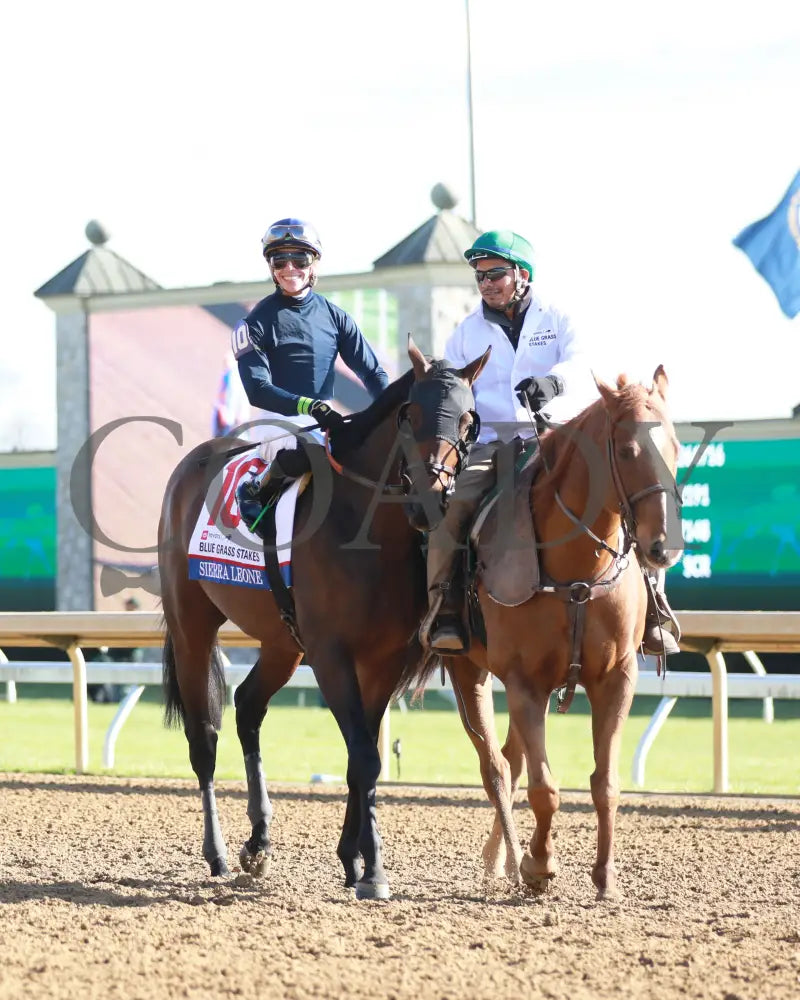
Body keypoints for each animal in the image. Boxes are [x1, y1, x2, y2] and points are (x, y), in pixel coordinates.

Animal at [156, 338, 488, 900]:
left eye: (467, 421)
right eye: (411, 414)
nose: (429, 501)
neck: (366, 530)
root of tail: (191, 464)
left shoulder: (384, 660)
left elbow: (362, 756)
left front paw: (352, 859)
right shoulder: (332, 655)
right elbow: (365, 755)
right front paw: (374, 873)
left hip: (283, 642)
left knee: (248, 707)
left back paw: (259, 841)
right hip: (191, 628)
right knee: (205, 737)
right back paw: (217, 852)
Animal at [406, 372, 680, 904]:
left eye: (676, 444)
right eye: (628, 450)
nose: (662, 547)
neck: (577, 574)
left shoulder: (616, 679)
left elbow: (605, 782)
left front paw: (606, 877)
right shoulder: (524, 681)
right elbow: (543, 787)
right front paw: (539, 865)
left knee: (510, 761)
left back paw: (502, 859)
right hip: (470, 671)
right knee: (497, 767)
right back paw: (511, 861)